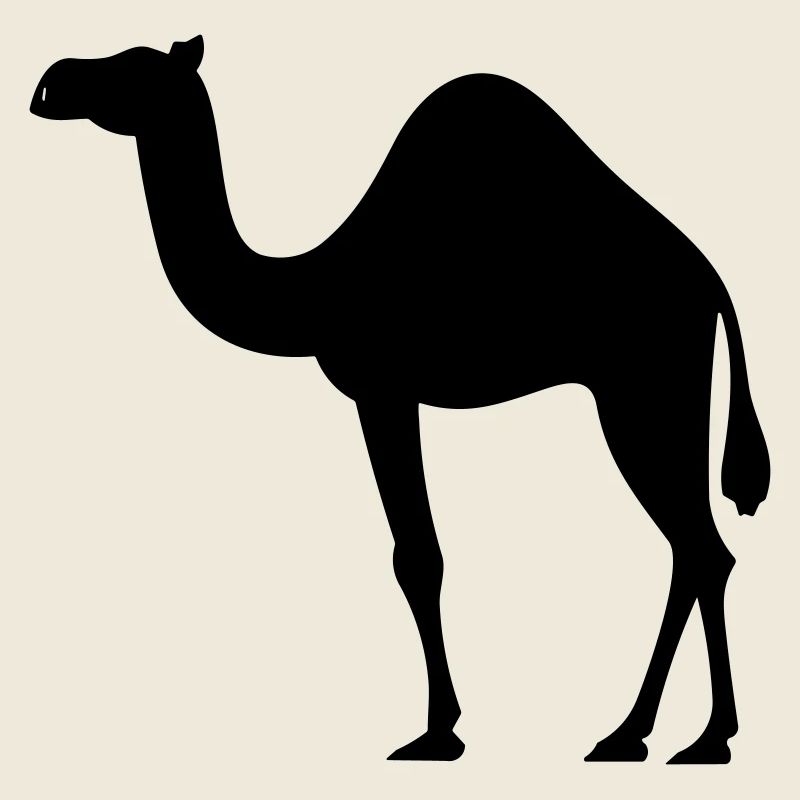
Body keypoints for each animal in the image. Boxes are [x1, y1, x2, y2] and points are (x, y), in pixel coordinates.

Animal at [31, 36, 769, 764]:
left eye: (134, 68)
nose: (49, 82)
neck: (313, 286)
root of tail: (711, 283)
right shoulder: (391, 394)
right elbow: (418, 553)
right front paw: (446, 725)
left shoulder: (381, 389)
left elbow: (416, 557)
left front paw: (439, 733)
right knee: (696, 550)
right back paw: (642, 734)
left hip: (643, 388)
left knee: (700, 547)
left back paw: (696, 739)